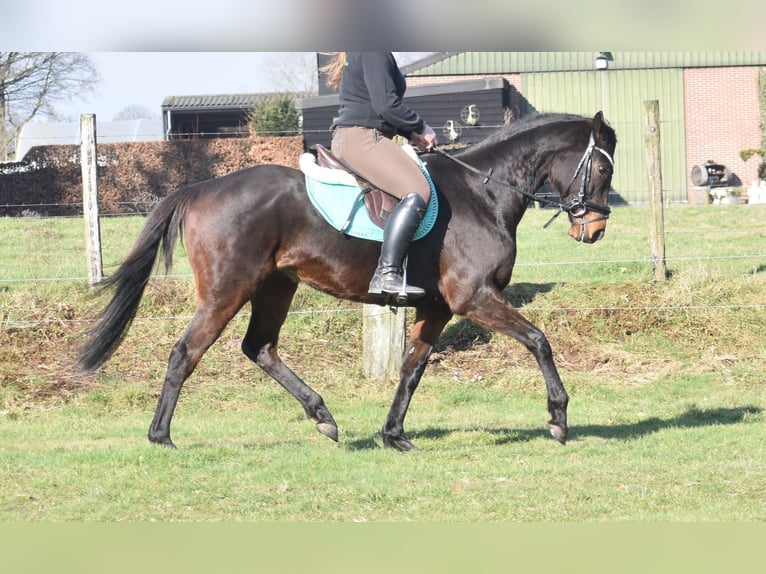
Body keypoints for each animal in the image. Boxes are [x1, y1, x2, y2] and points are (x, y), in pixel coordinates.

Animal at [78, 111, 616, 454]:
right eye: (602, 167)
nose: (595, 230)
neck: (482, 192)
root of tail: (203, 187)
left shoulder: (438, 308)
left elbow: (412, 369)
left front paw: (394, 435)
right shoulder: (475, 298)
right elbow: (539, 340)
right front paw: (558, 418)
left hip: (277, 287)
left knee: (260, 348)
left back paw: (323, 417)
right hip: (228, 291)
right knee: (186, 352)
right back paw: (161, 436)